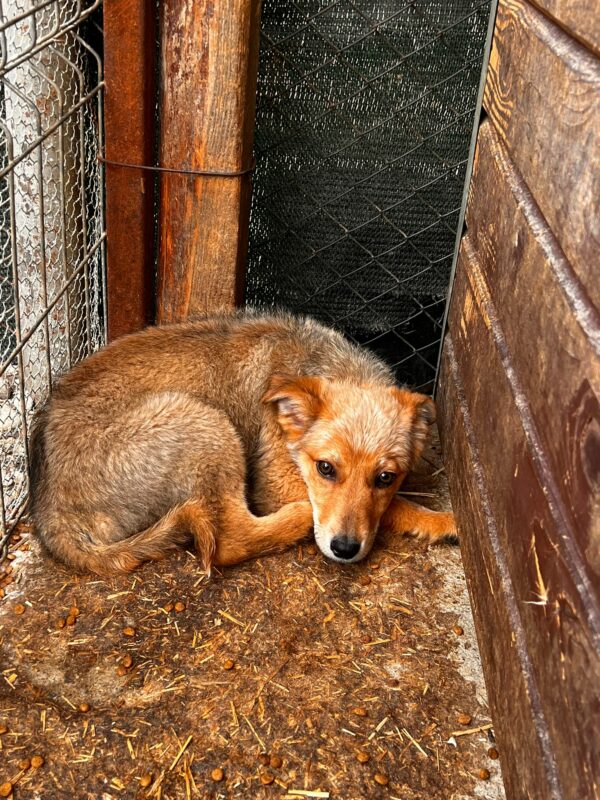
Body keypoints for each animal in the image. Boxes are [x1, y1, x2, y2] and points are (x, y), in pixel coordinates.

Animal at [28, 312, 454, 576]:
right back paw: (299, 518)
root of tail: (51, 513)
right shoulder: (279, 482)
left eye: (385, 477)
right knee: (230, 539)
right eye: (326, 468)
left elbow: (387, 505)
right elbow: (394, 508)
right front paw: (442, 521)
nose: (345, 548)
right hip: (205, 424)